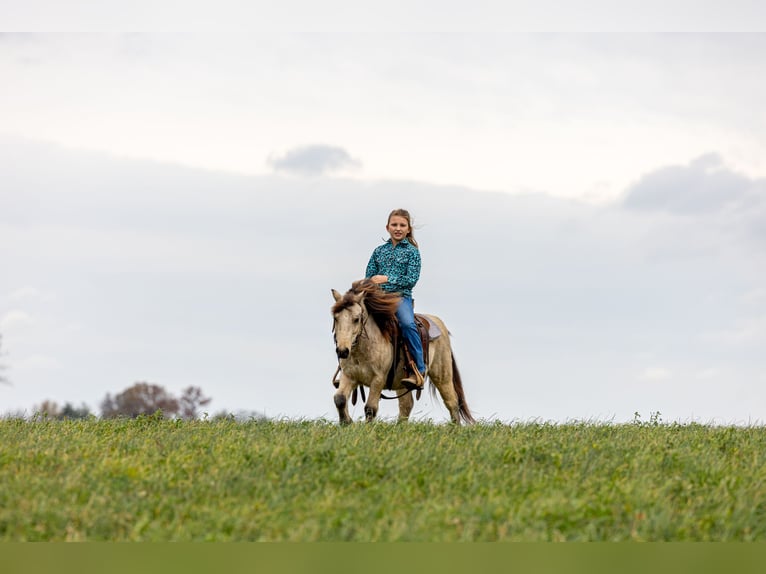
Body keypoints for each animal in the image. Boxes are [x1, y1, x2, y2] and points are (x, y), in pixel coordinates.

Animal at [331, 279, 474, 425]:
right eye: (336, 318)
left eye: (356, 319)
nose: (342, 351)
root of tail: (439, 324)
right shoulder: (349, 375)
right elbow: (339, 399)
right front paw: (346, 423)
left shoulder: (378, 379)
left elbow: (370, 408)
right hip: (402, 382)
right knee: (406, 404)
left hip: (442, 376)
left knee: (452, 402)